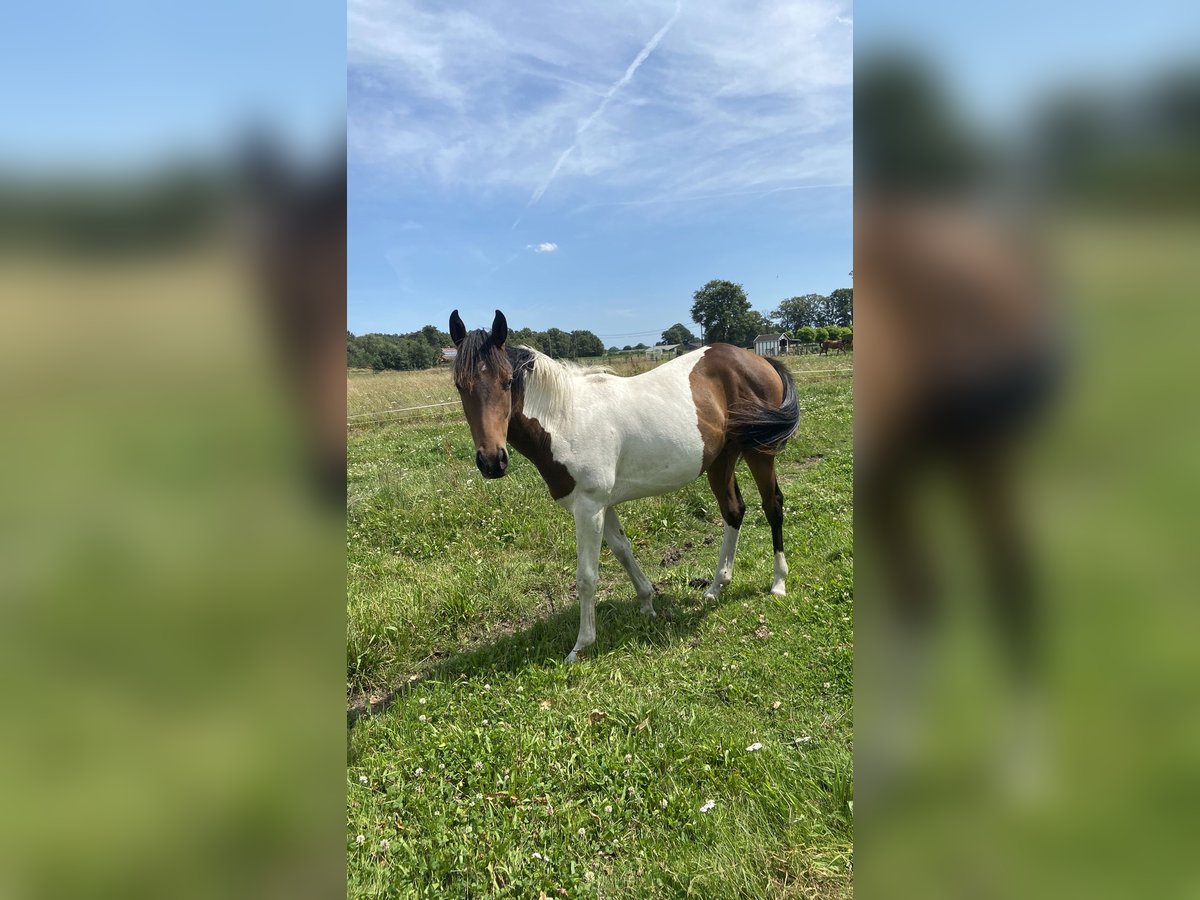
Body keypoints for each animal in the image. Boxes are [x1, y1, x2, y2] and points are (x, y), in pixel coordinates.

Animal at [446, 309, 801, 662]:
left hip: (759, 452)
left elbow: (586, 577)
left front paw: (581, 646)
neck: (564, 419)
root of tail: (760, 360)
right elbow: (622, 550)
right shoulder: (603, 504)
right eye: (460, 386)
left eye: (507, 382)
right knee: (733, 511)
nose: (492, 461)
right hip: (720, 460)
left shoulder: (588, 508)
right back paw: (716, 587)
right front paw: (647, 602)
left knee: (772, 506)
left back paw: (778, 584)